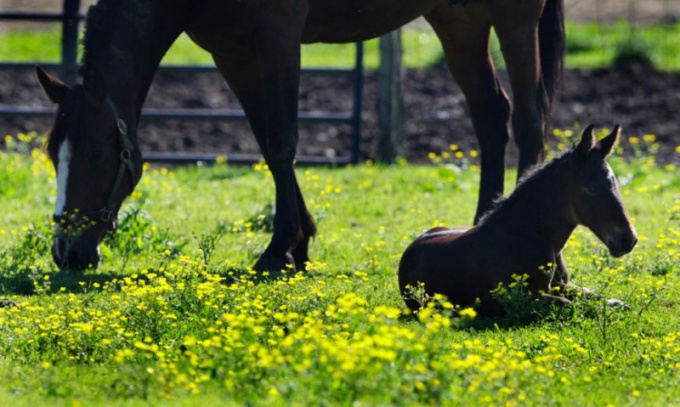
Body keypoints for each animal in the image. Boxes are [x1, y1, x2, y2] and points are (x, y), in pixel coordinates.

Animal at [37, 0, 564, 274]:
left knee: (529, 118)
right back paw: (478, 226)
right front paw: (300, 241)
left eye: (97, 154)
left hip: (513, 17)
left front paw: (278, 249)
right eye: (52, 156)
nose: (68, 252)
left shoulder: (279, 33)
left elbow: (283, 141)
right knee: (490, 114)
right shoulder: (232, 52)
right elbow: (267, 143)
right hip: (460, 20)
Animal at [398, 126, 636, 318]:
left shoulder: (565, 286)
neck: (529, 235)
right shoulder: (517, 298)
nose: (628, 239)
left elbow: (606, 300)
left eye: (616, 183)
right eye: (591, 188)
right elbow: (574, 305)